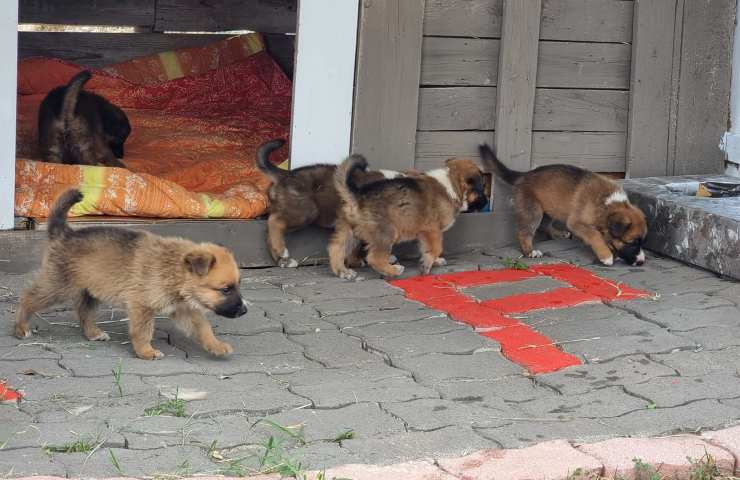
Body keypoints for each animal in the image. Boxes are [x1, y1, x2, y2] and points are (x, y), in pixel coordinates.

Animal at [14, 189, 247, 358]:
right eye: (225, 289)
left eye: (237, 286)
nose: (244, 311)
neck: (174, 269)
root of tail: (65, 233)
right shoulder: (142, 305)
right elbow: (142, 331)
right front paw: (146, 352)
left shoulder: (184, 309)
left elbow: (203, 327)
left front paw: (216, 345)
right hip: (58, 285)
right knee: (28, 298)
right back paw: (21, 327)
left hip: (89, 289)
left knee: (83, 312)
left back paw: (93, 333)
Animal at [256, 139, 404, 268]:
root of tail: (285, 175)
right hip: (306, 210)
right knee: (275, 221)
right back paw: (283, 252)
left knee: (268, 231)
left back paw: (283, 261)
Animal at [332, 154, 488, 282]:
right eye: (482, 190)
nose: (487, 203)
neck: (452, 185)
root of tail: (358, 197)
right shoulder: (432, 230)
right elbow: (437, 247)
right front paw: (427, 264)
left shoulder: (424, 233)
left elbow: (427, 248)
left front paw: (433, 260)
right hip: (387, 232)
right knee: (374, 258)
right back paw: (393, 270)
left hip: (349, 230)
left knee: (336, 248)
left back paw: (343, 271)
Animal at [476, 144, 644, 268]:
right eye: (631, 242)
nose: (642, 262)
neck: (607, 204)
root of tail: (524, 175)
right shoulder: (577, 222)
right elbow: (595, 235)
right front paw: (606, 255)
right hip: (534, 211)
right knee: (525, 232)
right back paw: (530, 251)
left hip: (549, 208)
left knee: (545, 226)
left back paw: (559, 233)